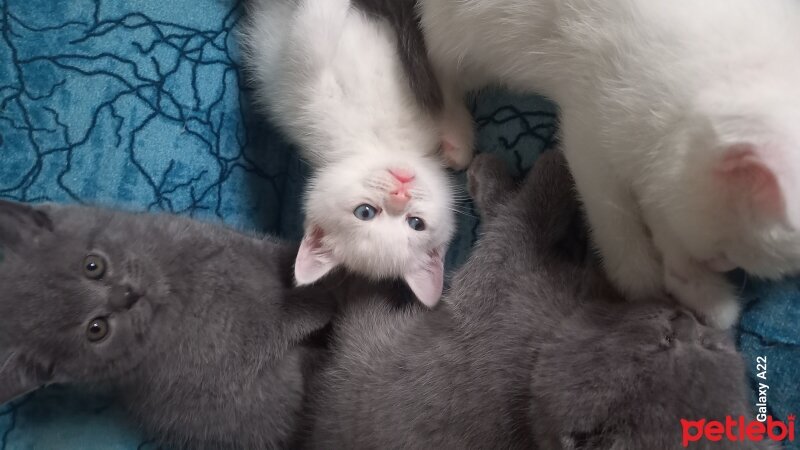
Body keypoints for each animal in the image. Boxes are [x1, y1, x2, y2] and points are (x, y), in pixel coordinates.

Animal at [0, 201, 338, 450]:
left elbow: (278, 256)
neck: (178, 290)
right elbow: (282, 319)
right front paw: (326, 291)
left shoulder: (234, 244)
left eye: (92, 265)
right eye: (96, 329)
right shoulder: (234, 351)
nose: (127, 295)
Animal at [304, 152, 764, 450]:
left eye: (705, 345)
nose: (685, 319)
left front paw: (539, 160)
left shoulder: (502, 277)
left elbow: (525, 210)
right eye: (666, 339)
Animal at [416, 0, 800, 326]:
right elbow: (612, 211)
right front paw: (641, 279)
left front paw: (699, 290)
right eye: (727, 248)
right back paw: (454, 134)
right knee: (438, 62)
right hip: (467, 33)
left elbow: (662, 216)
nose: (720, 264)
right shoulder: (590, 126)